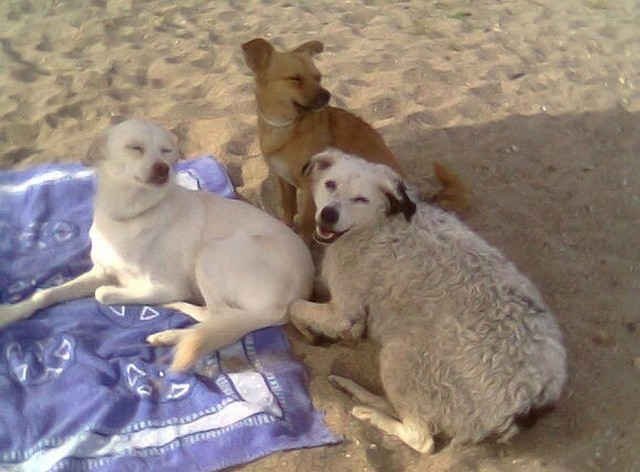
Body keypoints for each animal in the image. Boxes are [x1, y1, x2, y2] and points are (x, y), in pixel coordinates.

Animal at [0, 120, 316, 370]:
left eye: (166, 151)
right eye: (135, 148)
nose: (162, 169)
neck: (129, 214)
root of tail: (294, 297)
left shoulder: (165, 286)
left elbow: (104, 293)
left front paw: (122, 292)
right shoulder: (99, 270)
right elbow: (47, 293)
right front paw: (11, 312)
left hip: (212, 253)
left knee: (216, 317)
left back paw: (172, 333)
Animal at [242, 37, 468, 242]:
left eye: (318, 77)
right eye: (295, 79)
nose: (327, 95)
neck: (286, 127)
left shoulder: (309, 188)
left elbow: (306, 224)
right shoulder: (283, 180)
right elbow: (288, 210)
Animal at [290, 150, 564, 454]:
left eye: (361, 199)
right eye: (330, 184)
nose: (328, 215)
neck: (378, 225)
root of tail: (533, 398)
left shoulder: (344, 309)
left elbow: (295, 306)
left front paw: (308, 330)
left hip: (402, 358)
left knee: (421, 438)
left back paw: (369, 410)